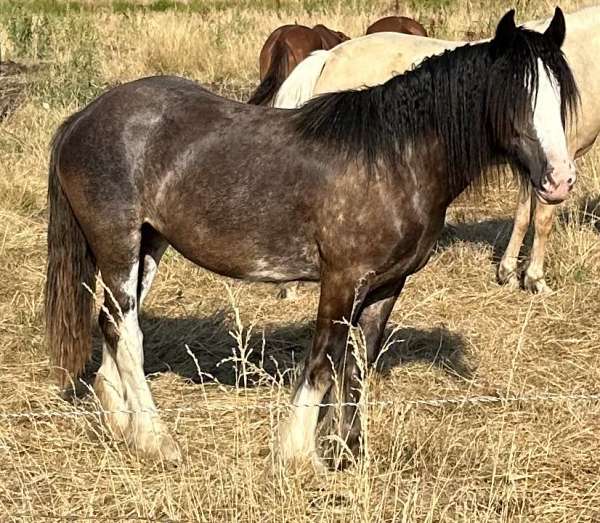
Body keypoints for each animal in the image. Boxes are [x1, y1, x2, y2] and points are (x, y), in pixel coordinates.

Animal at [276, 7, 600, 294]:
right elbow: (543, 220)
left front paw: (507, 272)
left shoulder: (535, 165)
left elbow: (523, 215)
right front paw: (535, 280)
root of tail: (329, 57)